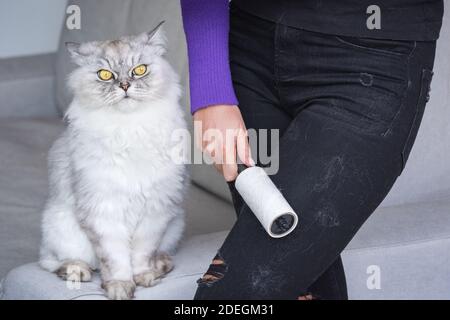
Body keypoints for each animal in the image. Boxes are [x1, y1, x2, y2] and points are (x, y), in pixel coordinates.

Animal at [37, 22, 187, 300]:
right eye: (105, 75)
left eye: (140, 70)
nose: (125, 85)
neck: (129, 128)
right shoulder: (102, 211)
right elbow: (115, 259)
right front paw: (119, 287)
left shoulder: (155, 211)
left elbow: (141, 254)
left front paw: (144, 277)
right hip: (59, 225)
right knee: (52, 261)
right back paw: (76, 271)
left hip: (175, 225)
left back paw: (160, 264)